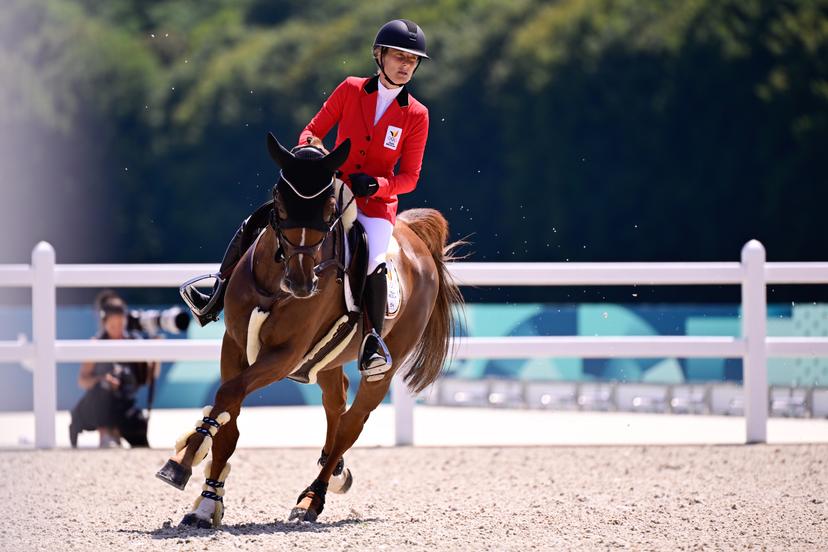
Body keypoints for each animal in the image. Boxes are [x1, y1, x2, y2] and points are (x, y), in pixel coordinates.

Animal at [156, 132, 464, 527]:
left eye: (329, 208)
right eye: (280, 203)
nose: (302, 284)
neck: (275, 282)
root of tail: (413, 236)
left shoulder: (284, 356)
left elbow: (229, 395)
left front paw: (180, 463)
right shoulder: (234, 345)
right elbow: (228, 416)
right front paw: (207, 502)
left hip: (383, 366)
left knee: (351, 422)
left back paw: (312, 498)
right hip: (326, 359)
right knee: (336, 403)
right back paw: (336, 470)